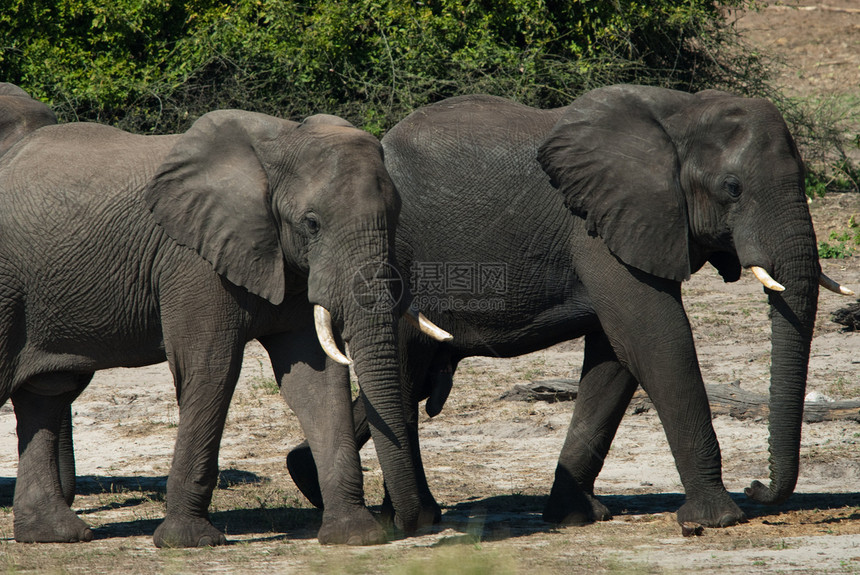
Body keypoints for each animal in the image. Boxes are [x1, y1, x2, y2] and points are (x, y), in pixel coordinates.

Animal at [0, 107, 454, 548]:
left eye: (395, 218)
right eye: (311, 224)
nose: (408, 525)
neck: (280, 143)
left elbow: (316, 381)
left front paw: (356, 536)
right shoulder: (193, 261)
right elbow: (211, 370)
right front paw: (189, 542)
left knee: (47, 394)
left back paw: (54, 535)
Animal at [288, 85, 852, 532]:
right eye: (732, 189)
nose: (756, 486)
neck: (680, 114)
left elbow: (615, 356)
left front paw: (576, 516)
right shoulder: (599, 230)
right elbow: (653, 336)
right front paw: (714, 520)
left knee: (411, 376)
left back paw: (310, 479)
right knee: (405, 376)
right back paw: (415, 517)